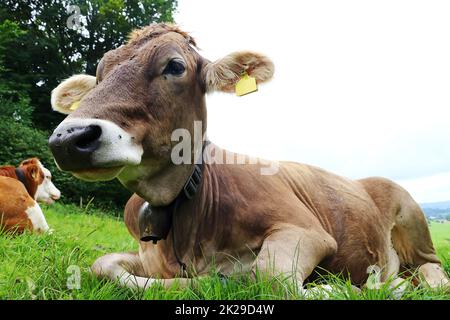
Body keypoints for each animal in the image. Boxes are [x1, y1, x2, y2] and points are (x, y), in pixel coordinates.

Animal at [47, 22, 448, 292]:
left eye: (174, 66)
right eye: (100, 74)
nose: (70, 137)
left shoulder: (307, 230)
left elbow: (270, 275)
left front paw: (333, 288)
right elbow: (103, 265)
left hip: (412, 217)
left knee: (432, 271)